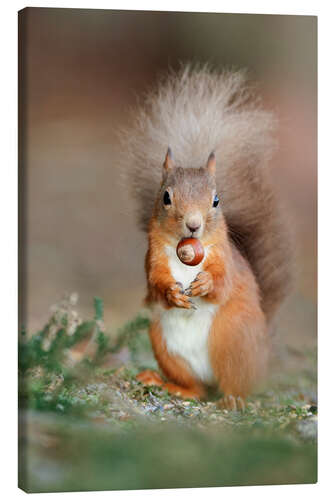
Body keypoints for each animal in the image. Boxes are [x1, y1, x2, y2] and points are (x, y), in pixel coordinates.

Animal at [121, 65, 290, 410]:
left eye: (216, 200)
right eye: (166, 197)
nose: (193, 225)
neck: (186, 251)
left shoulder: (226, 258)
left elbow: (222, 283)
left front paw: (205, 284)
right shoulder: (153, 257)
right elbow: (155, 283)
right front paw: (171, 292)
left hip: (233, 338)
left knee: (233, 384)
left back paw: (233, 399)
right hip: (164, 344)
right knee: (196, 389)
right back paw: (167, 384)